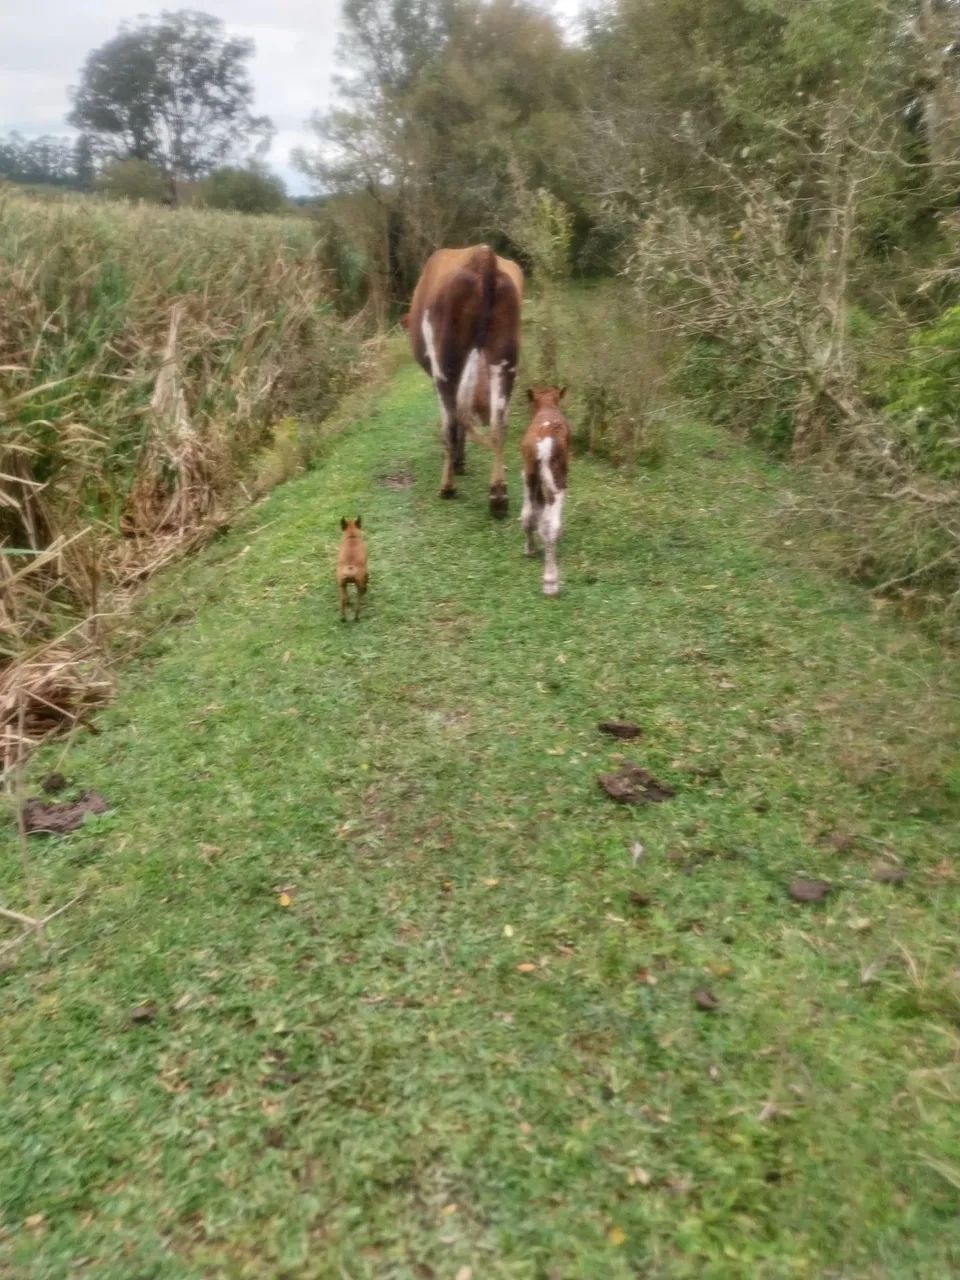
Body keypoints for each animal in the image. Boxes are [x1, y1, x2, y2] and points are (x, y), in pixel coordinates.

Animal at [404, 245, 523, 517]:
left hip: (447, 365)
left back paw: (447, 487)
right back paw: (498, 494)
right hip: (505, 360)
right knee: (499, 423)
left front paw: (457, 463)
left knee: (450, 420)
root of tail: (483, 255)